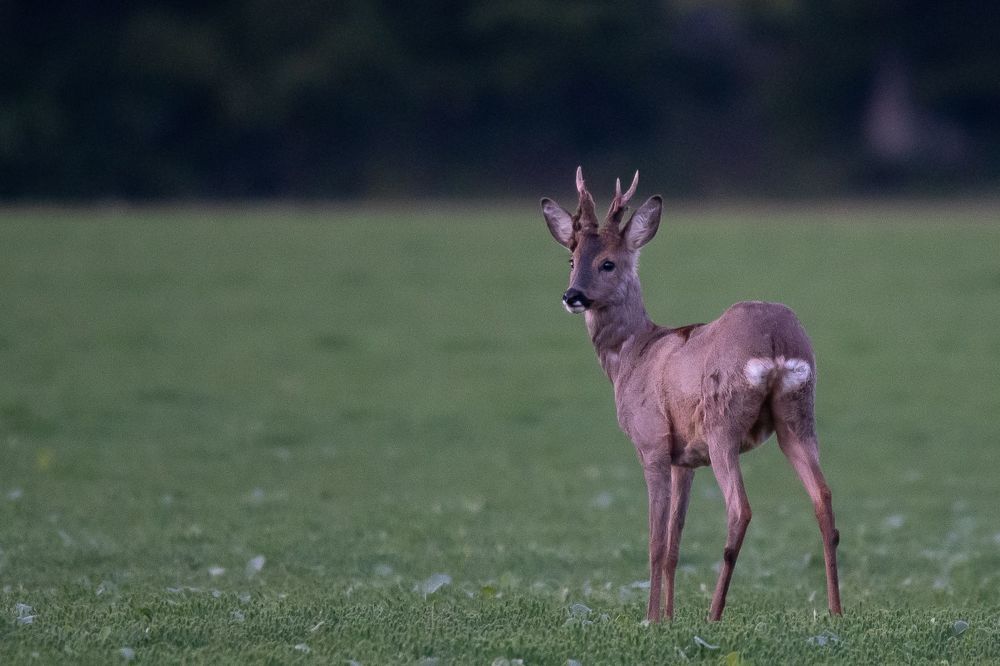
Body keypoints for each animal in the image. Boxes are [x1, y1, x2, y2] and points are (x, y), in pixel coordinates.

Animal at [539, 167, 842, 622]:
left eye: (608, 262)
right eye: (571, 260)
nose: (572, 295)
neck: (633, 355)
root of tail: (775, 340)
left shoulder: (651, 441)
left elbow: (654, 541)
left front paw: (650, 618)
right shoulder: (685, 459)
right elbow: (674, 545)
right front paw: (668, 617)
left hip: (723, 422)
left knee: (740, 509)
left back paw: (714, 614)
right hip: (798, 415)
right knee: (823, 500)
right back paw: (835, 611)